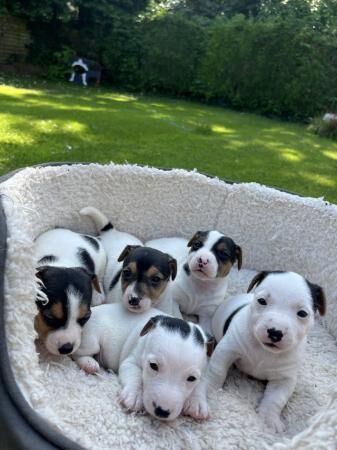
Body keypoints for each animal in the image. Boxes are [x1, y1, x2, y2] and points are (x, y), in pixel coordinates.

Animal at [72, 302, 213, 422]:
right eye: (153, 366)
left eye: (192, 378)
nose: (162, 411)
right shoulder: (131, 362)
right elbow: (135, 375)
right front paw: (135, 395)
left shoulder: (204, 372)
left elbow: (202, 384)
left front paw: (197, 403)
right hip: (91, 340)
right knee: (76, 353)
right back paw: (88, 363)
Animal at [188, 270, 324, 432]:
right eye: (262, 301)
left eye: (302, 313)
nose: (275, 332)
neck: (263, 349)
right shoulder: (228, 349)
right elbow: (217, 371)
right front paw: (211, 390)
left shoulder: (285, 378)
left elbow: (276, 398)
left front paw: (269, 419)